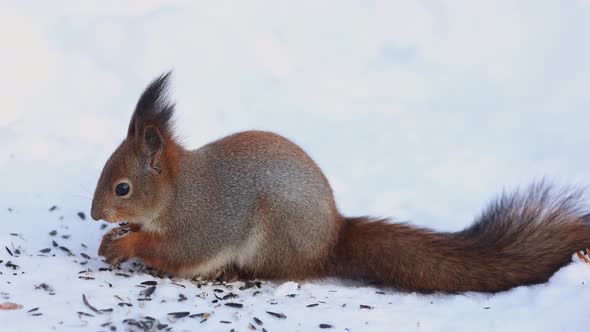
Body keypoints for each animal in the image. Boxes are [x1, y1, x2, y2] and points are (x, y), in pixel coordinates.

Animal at [90, 72, 590, 294]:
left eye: (122, 188)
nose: (96, 213)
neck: (175, 193)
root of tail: (332, 236)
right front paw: (116, 236)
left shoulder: (202, 220)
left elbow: (177, 250)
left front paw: (127, 244)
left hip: (275, 238)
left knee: (281, 272)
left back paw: (233, 272)